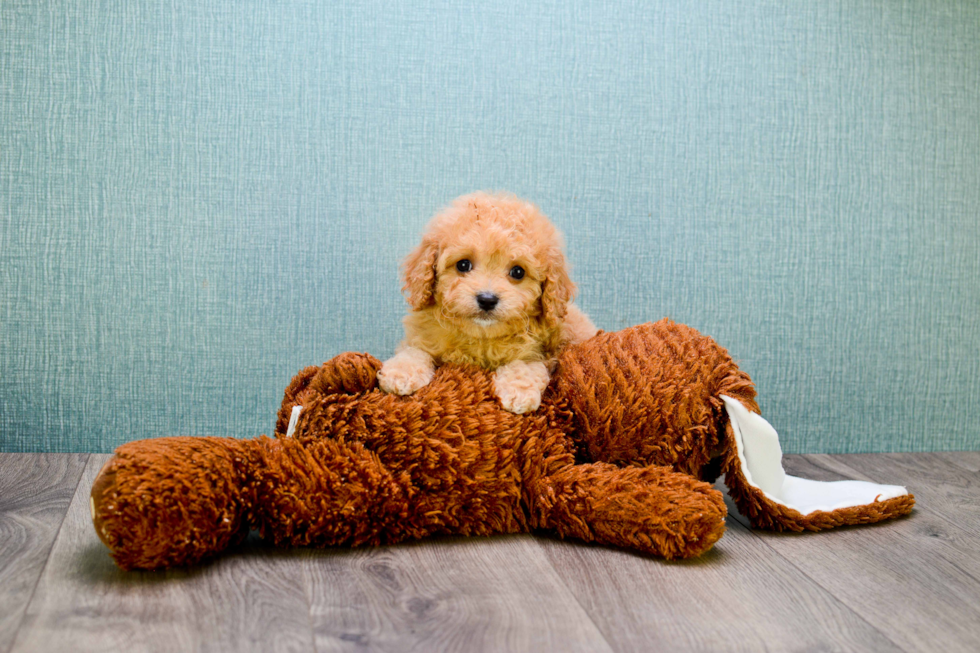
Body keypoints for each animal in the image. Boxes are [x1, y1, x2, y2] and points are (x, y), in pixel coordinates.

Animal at [378, 190, 596, 412]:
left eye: (518, 272)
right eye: (463, 264)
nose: (487, 299)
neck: (481, 337)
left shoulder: (538, 354)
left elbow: (524, 366)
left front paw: (519, 392)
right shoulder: (421, 337)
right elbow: (414, 351)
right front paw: (400, 373)